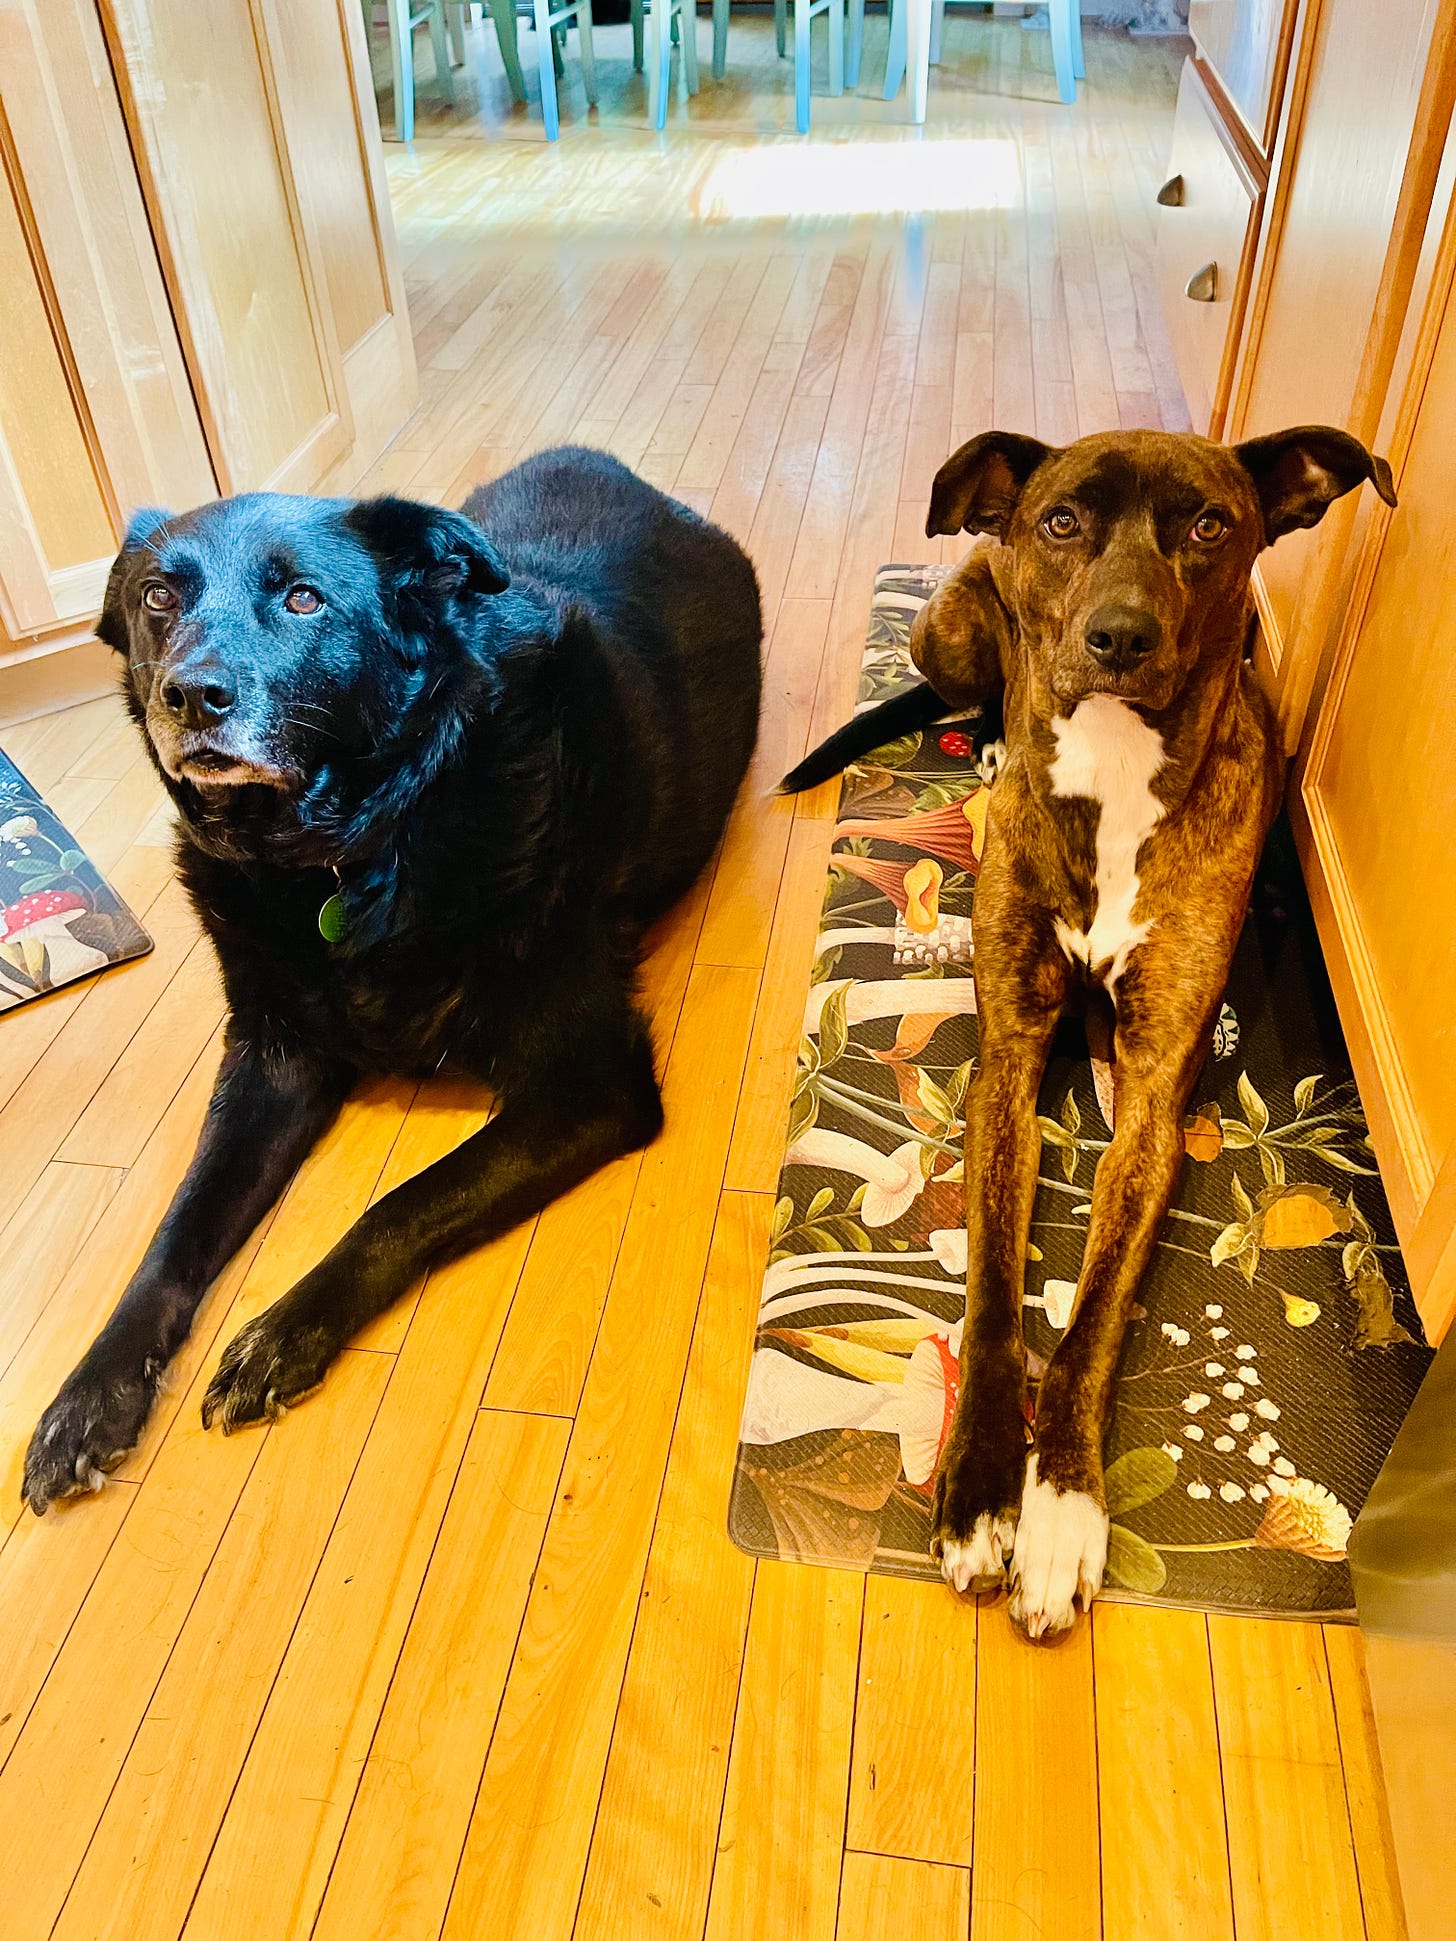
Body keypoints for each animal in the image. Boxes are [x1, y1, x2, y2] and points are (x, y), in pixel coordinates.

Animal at [25, 444, 764, 1513]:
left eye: (302, 598)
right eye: (158, 596)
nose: (191, 697)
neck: (347, 851)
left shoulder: (590, 1083)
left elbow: (402, 1202)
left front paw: (284, 1330)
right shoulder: (272, 1058)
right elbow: (175, 1232)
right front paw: (90, 1394)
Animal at [799, 428, 1405, 1638]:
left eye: (1211, 525)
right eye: (1063, 521)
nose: (1118, 636)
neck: (1116, 768)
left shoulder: (1152, 1096)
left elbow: (1089, 1325)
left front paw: (1062, 1513)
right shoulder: (1007, 1063)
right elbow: (992, 1296)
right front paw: (981, 1490)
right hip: (947, 626)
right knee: (982, 690)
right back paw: (989, 749)